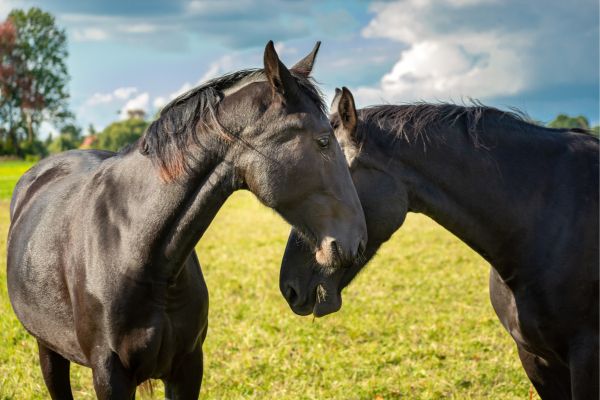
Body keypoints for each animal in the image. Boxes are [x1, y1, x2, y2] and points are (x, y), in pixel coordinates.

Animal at [7, 44, 368, 400]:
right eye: (323, 141)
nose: (358, 241)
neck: (133, 248)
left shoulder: (189, 365)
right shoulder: (109, 375)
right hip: (48, 349)